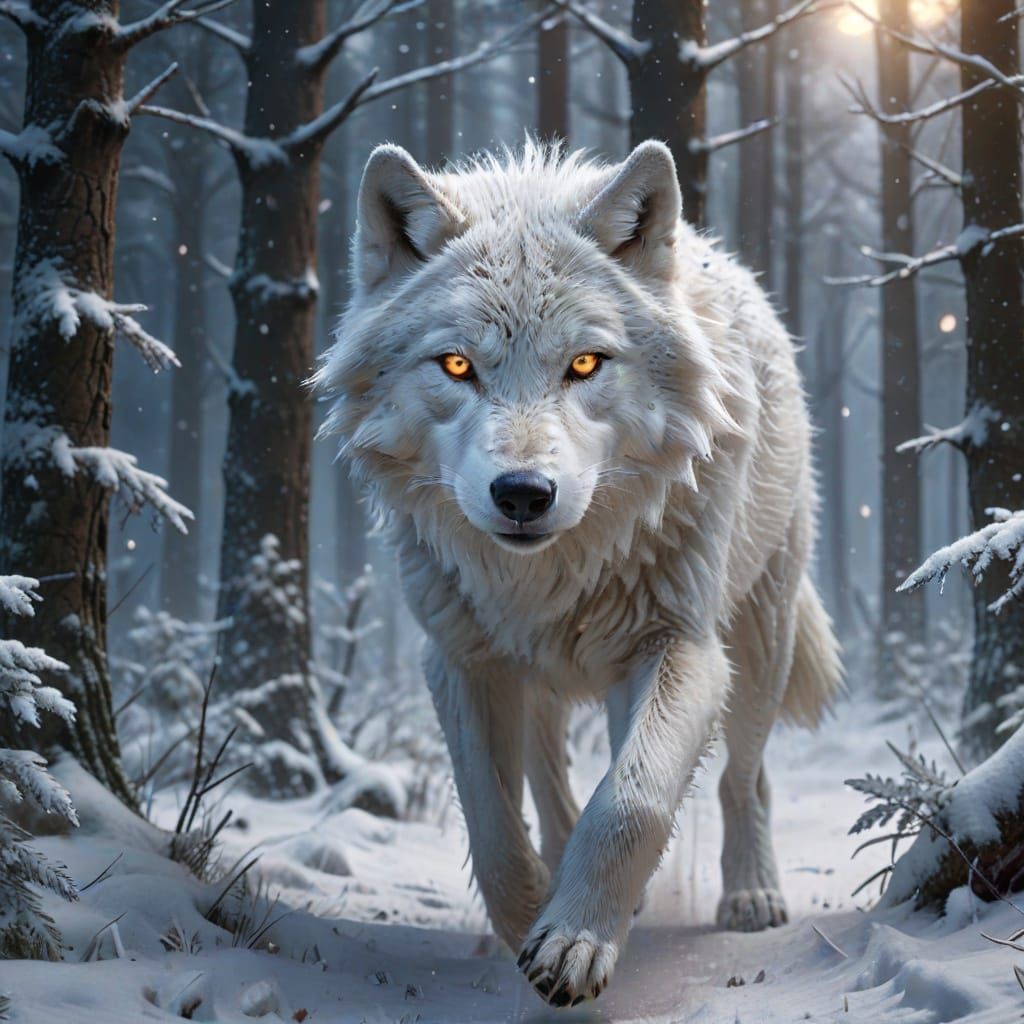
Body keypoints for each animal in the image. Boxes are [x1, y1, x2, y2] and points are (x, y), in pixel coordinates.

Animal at [314, 140, 842, 1007]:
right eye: (456, 365)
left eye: (585, 364)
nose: (523, 493)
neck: (550, 576)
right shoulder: (460, 659)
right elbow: (491, 818)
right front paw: (532, 910)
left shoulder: (680, 647)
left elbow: (631, 799)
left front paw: (575, 940)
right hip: (541, 680)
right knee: (550, 780)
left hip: (760, 643)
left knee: (746, 780)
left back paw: (751, 893)